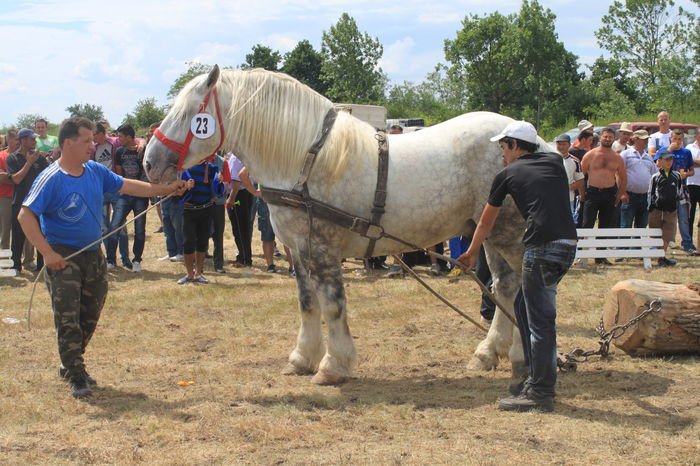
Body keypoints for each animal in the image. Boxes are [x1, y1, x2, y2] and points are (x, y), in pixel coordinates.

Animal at [145, 66, 544, 386]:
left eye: (189, 113)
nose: (150, 163)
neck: (305, 162)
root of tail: (534, 143)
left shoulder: (322, 248)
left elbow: (333, 304)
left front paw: (333, 365)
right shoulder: (299, 249)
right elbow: (308, 303)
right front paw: (301, 358)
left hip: (508, 233)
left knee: (523, 288)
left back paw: (524, 359)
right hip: (487, 231)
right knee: (506, 285)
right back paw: (489, 354)